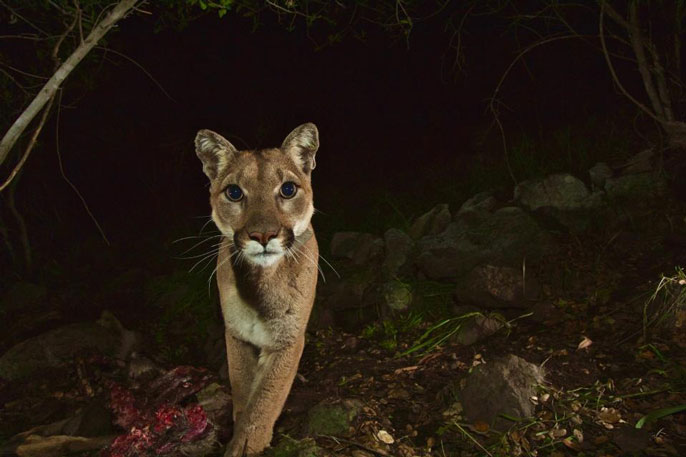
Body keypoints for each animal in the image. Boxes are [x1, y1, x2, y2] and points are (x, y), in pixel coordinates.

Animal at [195, 123, 322, 454]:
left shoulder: (288, 338)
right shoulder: (237, 334)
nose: (263, 235)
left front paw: (247, 442)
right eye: (234, 192)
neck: (260, 282)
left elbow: (267, 395)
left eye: (288, 189)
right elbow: (244, 389)